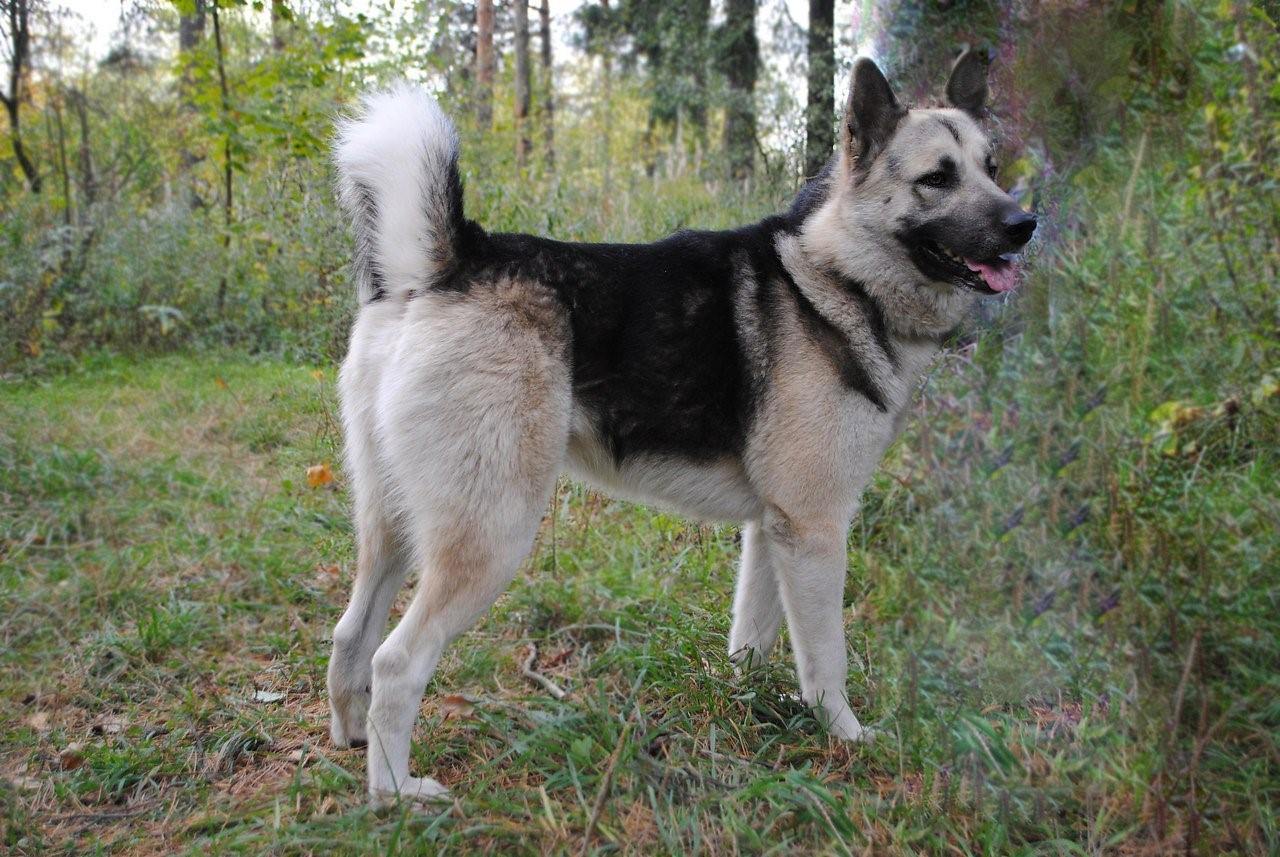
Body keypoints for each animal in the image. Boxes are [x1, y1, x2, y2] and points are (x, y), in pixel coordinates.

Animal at [327, 52, 1029, 808]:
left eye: (992, 167)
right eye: (937, 178)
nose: (1025, 223)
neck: (836, 276)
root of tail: (451, 262)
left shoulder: (772, 531)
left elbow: (751, 642)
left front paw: (745, 708)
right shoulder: (814, 531)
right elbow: (825, 660)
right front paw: (844, 736)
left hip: (394, 529)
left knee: (350, 637)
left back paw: (353, 740)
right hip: (493, 536)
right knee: (396, 662)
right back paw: (396, 793)